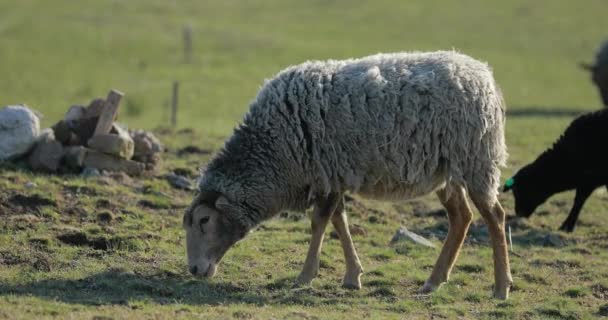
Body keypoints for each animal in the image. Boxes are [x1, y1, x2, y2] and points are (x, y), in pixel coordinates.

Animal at [184, 50, 512, 300]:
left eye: (204, 220)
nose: (194, 270)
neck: (273, 152)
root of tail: (483, 74)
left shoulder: (324, 173)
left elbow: (319, 222)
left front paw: (305, 275)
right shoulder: (333, 176)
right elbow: (339, 221)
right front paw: (353, 276)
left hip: (476, 161)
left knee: (495, 217)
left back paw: (500, 287)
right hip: (446, 170)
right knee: (461, 217)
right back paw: (434, 281)